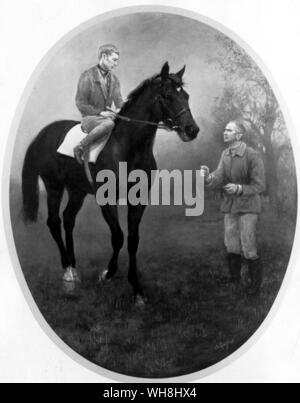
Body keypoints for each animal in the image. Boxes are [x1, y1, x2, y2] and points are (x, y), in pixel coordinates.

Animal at [21, 61, 199, 304]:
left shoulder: (138, 199)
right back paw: (67, 272)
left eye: (186, 96)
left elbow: (133, 239)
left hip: (76, 190)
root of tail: (42, 135)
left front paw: (137, 290)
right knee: (54, 221)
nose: (192, 130)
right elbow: (118, 236)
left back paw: (74, 266)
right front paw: (107, 273)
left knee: (68, 219)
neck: (127, 147)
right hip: (54, 186)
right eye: (167, 95)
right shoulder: (106, 199)